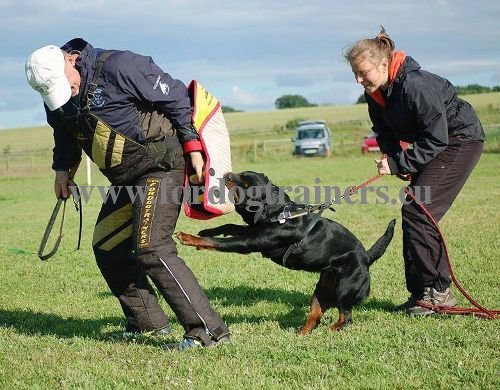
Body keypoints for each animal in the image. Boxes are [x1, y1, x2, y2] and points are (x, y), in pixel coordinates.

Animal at [176, 171, 394, 336]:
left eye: (245, 184)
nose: (227, 173)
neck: (278, 214)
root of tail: (366, 257)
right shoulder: (254, 231)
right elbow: (230, 226)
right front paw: (206, 231)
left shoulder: (249, 242)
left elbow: (219, 242)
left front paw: (189, 238)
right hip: (322, 289)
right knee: (315, 315)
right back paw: (301, 333)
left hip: (345, 288)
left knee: (346, 317)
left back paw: (332, 330)